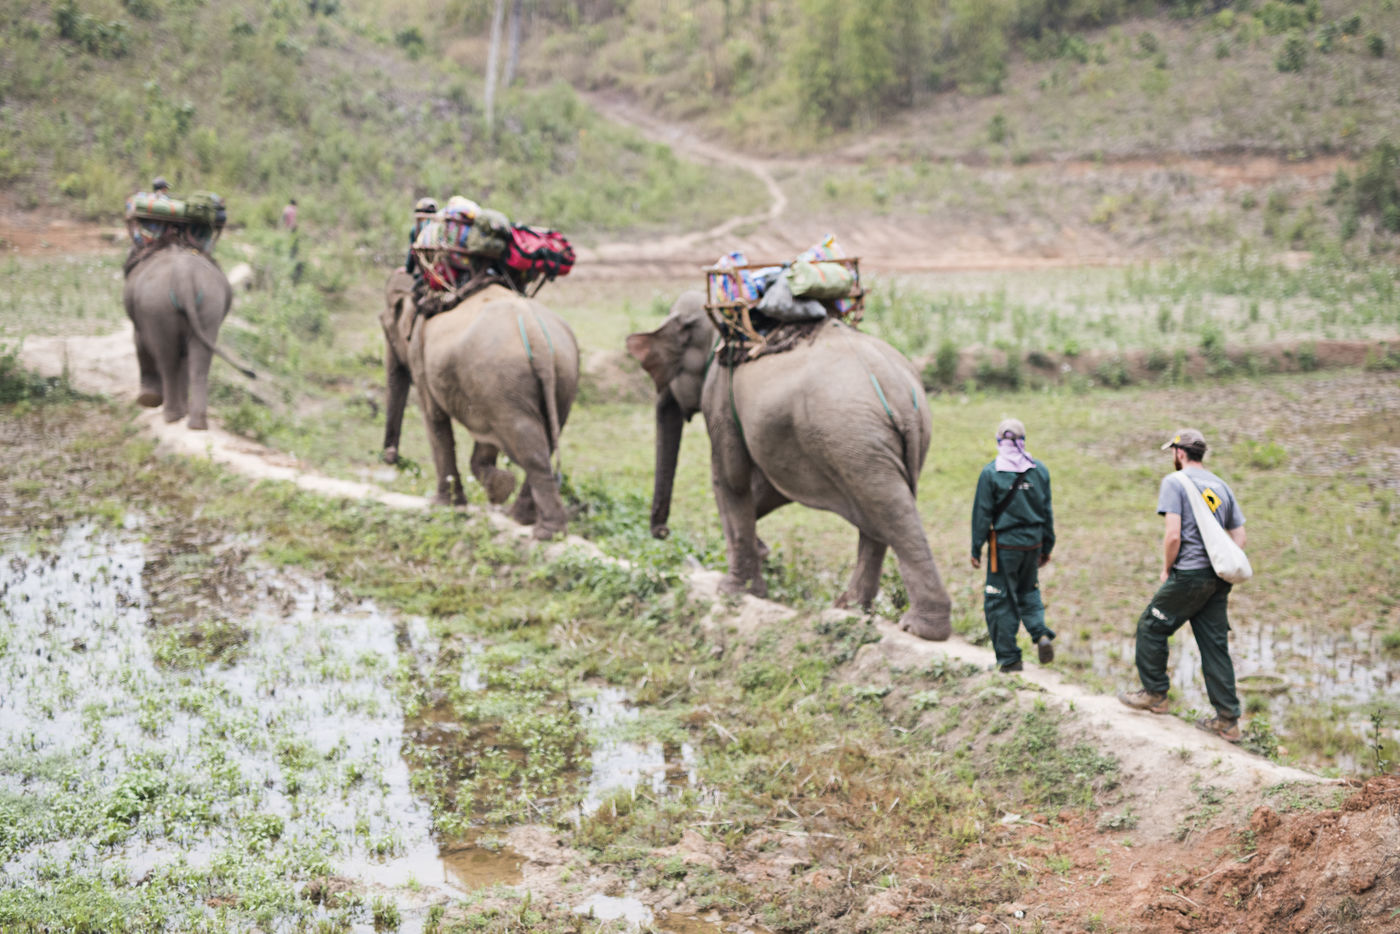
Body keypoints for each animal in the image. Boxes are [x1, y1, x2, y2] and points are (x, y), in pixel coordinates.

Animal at [123, 246, 251, 430]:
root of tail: (184, 277)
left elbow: (141, 344)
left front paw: (149, 400)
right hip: (210, 303)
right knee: (199, 362)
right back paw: (197, 424)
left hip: (157, 307)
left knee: (167, 360)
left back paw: (171, 417)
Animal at [380, 270, 580, 539]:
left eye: (385, 325)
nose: (392, 457)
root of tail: (535, 333)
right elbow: (485, 440)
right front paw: (499, 488)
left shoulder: (420, 356)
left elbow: (434, 418)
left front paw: (443, 505)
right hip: (559, 376)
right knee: (545, 441)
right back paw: (520, 518)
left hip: (503, 377)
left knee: (528, 445)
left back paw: (544, 532)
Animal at [626, 291, 952, 640]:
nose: (662, 532)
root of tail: (899, 391)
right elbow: (770, 488)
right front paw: (761, 554)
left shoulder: (721, 397)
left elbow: (730, 477)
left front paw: (734, 591)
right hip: (884, 441)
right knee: (884, 512)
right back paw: (850, 608)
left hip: (852, 437)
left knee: (886, 508)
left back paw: (919, 629)